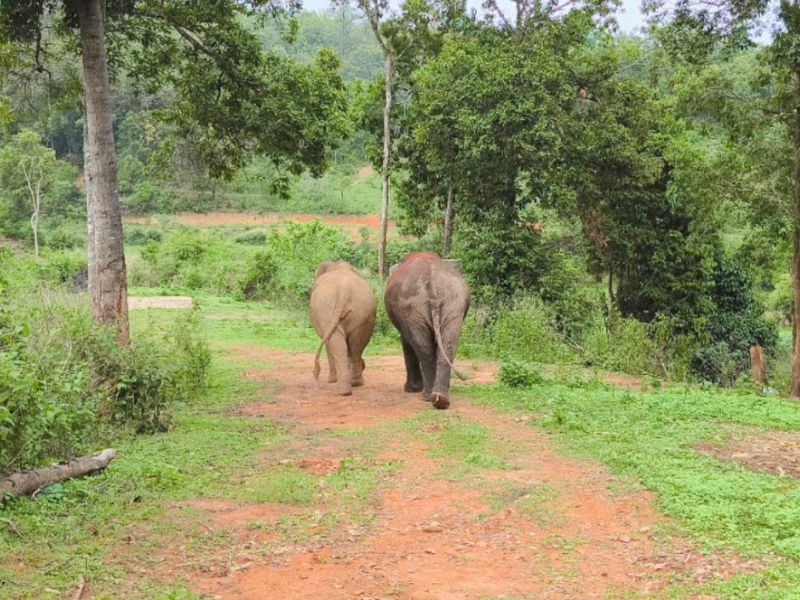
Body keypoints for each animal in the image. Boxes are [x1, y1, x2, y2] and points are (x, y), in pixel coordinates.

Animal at [310, 261, 377, 395]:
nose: (315, 373)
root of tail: (343, 289)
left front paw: (331, 380)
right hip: (362, 311)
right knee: (357, 344)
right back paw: (352, 386)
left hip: (327, 309)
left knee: (338, 345)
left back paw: (343, 387)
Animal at [384, 252, 470, 409]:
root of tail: (434, 283)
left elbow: (406, 341)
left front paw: (410, 390)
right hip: (453, 302)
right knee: (448, 344)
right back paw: (440, 399)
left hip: (412, 306)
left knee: (423, 347)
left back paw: (426, 397)